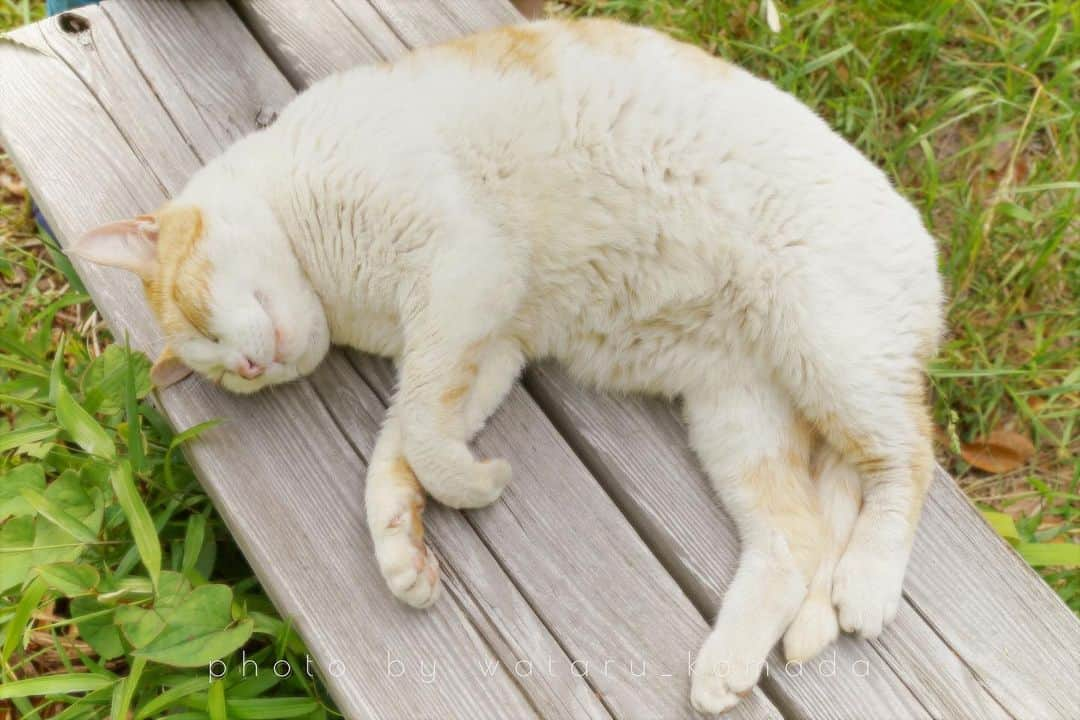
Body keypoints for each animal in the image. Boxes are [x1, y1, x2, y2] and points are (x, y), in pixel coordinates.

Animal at [76, 16, 941, 716]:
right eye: (225, 376)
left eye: (199, 315)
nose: (253, 366)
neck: (338, 284)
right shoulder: (487, 346)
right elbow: (401, 443)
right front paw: (403, 542)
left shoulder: (463, 276)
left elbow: (421, 430)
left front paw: (470, 487)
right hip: (740, 415)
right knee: (795, 537)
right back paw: (726, 667)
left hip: (828, 342)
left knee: (910, 455)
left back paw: (867, 581)